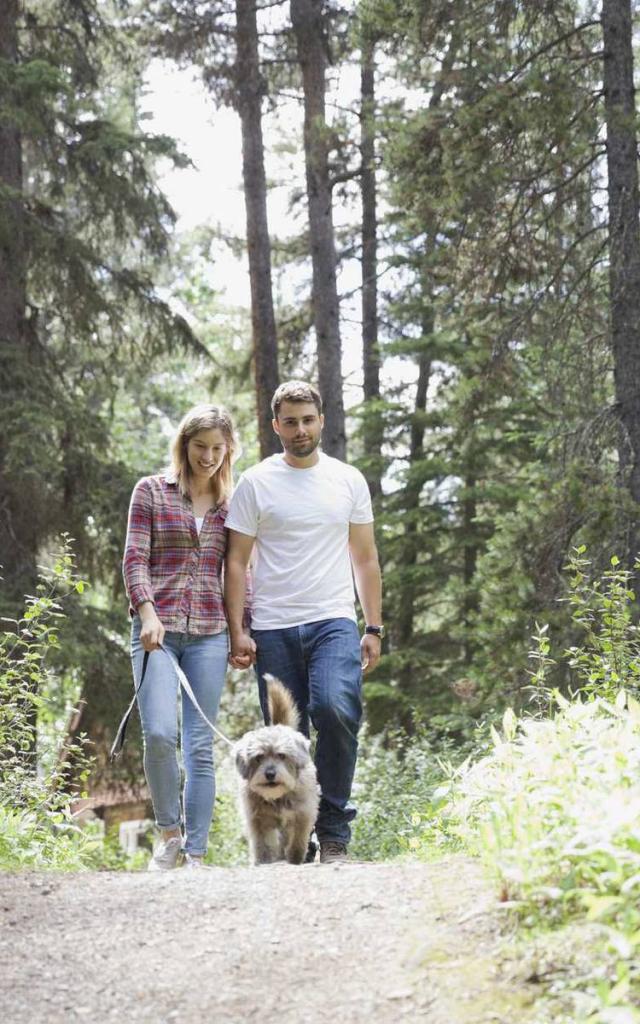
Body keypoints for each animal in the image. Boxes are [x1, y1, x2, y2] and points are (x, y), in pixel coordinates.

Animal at [232, 675, 319, 868]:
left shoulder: (303, 814)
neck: (277, 797)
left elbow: (297, 840)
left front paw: (294, 858)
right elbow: (261, 844)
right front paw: (262, 862)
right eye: (259, 757)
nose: (270, 774)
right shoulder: (257, 820)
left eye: (281, 755)